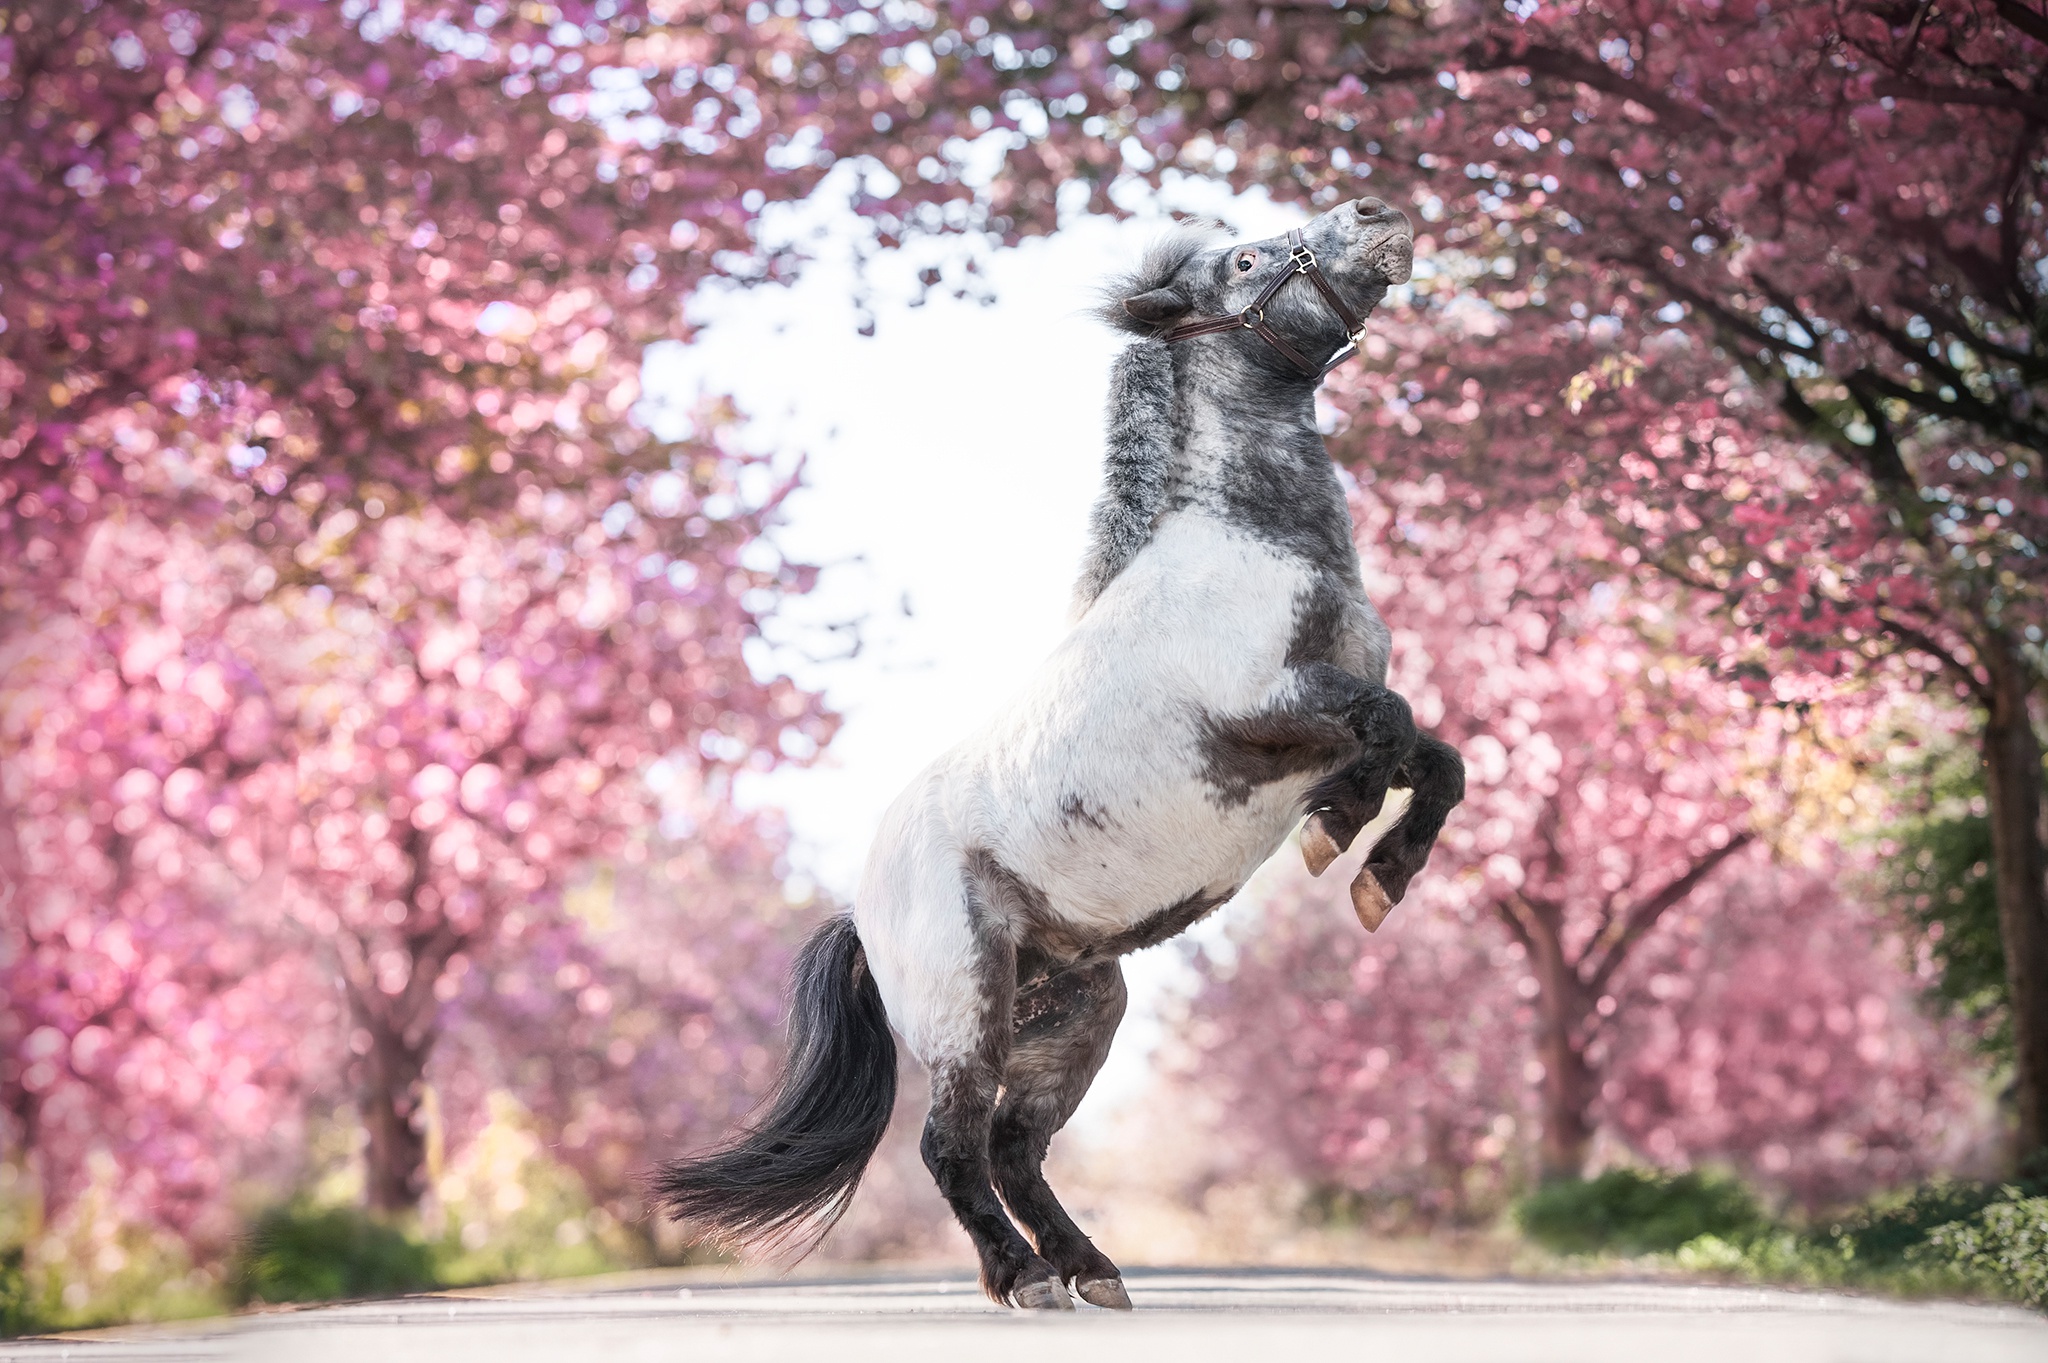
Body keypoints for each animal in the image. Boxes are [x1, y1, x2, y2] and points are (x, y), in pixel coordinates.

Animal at [654, 196, 1466, 1310]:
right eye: (1246, 257)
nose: (1377, 214)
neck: (1244, 547)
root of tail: (865, 915)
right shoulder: (1269, 707)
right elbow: (1388, 726)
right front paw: (1342, 835)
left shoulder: (1328, 714)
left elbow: (1434, 758)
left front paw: (1376, 867)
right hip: (968, 1007)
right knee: (951, 1144)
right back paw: (1026, 1278)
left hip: (1084, 1009)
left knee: (1014, 1147)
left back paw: (1091, 1269)